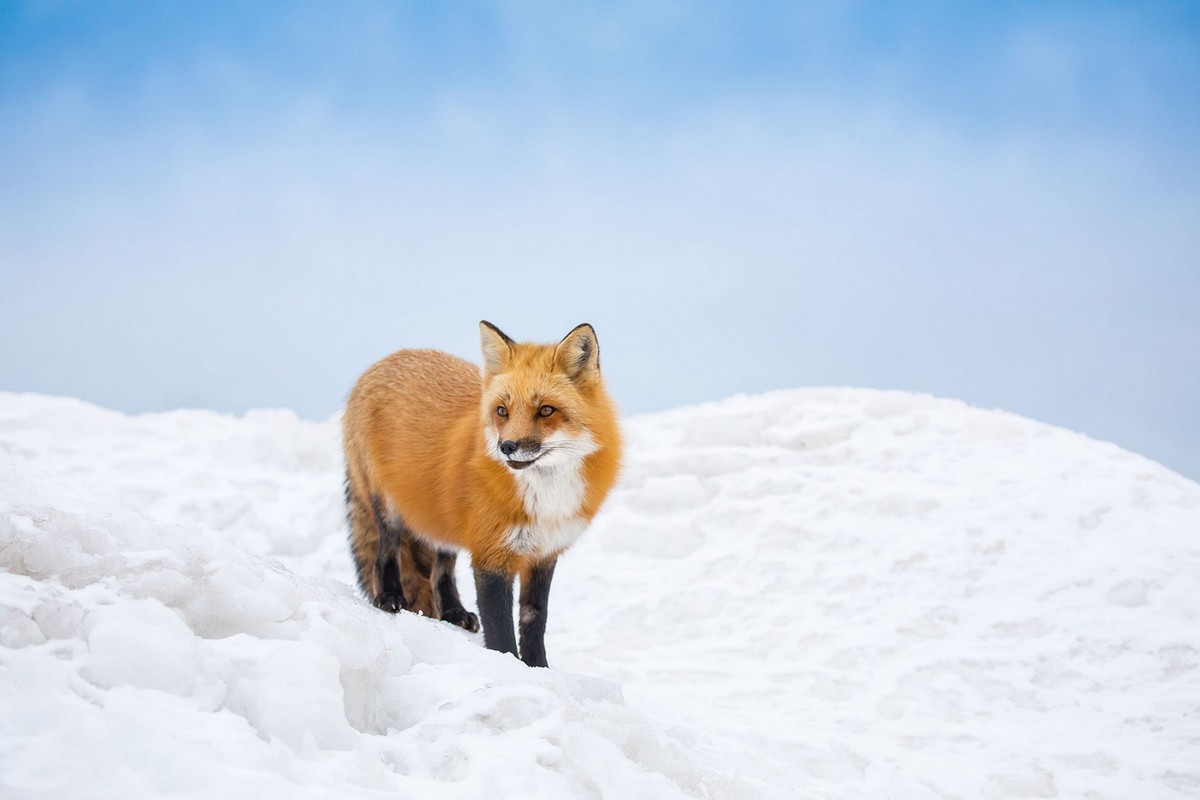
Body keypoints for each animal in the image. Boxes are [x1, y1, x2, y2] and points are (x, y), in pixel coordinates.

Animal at [338, 321, 619, 666]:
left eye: (546, 410)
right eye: (502, 411)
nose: (506, 446)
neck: (545, 497)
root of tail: (388, 359)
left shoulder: (543, 554)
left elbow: (533, 619)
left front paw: (538, 668)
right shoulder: (491, 555)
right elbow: (499, 628)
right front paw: (509, 667)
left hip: (442, 516)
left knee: (440, 572)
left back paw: (453, 612)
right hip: (389, 509)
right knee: (385, 554)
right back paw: (390, 596)